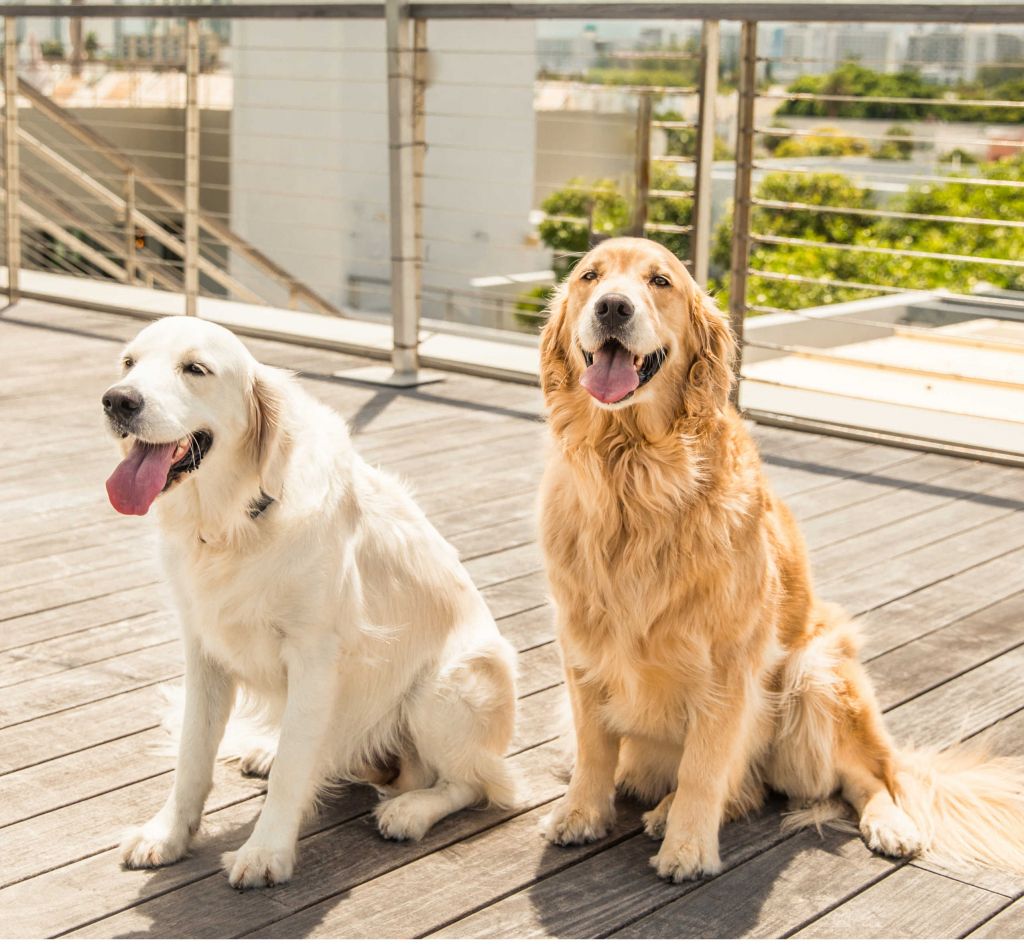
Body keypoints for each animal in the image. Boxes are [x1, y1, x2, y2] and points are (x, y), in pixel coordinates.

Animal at [103, 315, 516, 888]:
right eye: (128, 363)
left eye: (195, 369)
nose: (117, 401)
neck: (236, 523)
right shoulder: (204, 651)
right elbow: (193, 757)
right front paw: (167, 835)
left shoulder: (316, 657)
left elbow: (295, 768)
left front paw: (265, 852)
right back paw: (267, 751)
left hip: (448, 685)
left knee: (478, 783)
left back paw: (408, 811)